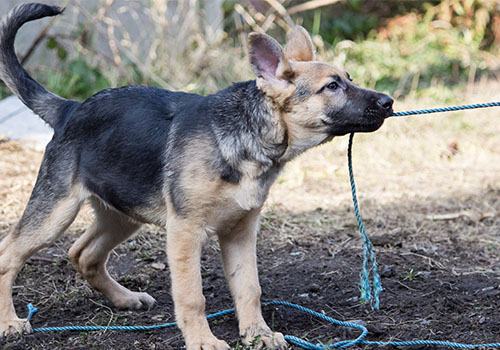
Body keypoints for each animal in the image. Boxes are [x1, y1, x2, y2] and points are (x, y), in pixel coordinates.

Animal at [0, 3, 392, 350]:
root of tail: (70, 108)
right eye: (332, 86)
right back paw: (9, 323)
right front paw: (203, 341)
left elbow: (249, 288)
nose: (388, 102)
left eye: (349, 79)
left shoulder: (240, 232)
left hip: (123, 212)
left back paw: (125, 299)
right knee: (9, 255)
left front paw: (258, 334)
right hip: (56, 211)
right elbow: (192, 296)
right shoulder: (185, 232)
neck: (247, 138)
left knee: (83, 253)